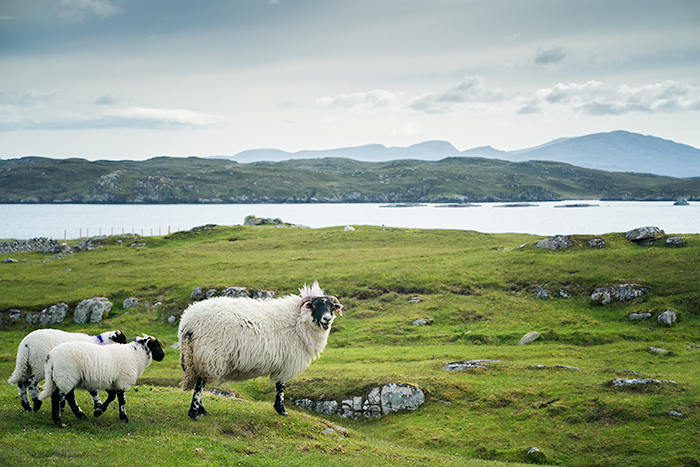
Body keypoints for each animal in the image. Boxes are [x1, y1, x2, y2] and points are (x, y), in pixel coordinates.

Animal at [179, 282, 344, 420]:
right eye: (314, 306)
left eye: (332, 307)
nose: (327, 319)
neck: (299, 320)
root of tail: (188, 322)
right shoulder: (287, 362)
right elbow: (281, 386)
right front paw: (282, 410)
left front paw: (279, 408)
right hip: (210, 355)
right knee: (200, 383)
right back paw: (194, 413)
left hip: (198, 356)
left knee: (200, 381)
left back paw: (201, 410)